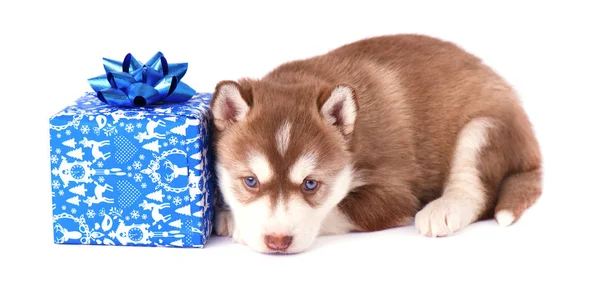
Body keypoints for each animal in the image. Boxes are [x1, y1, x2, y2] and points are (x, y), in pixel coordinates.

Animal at [210, 33, 544, 253]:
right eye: (250, 181)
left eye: (310, 184)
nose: (277, 241)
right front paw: (228, 217)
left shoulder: (395, 192)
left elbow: (336, 210)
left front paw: (237, 226)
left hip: (483, 128)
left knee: (475, 189)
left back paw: (443, 209)